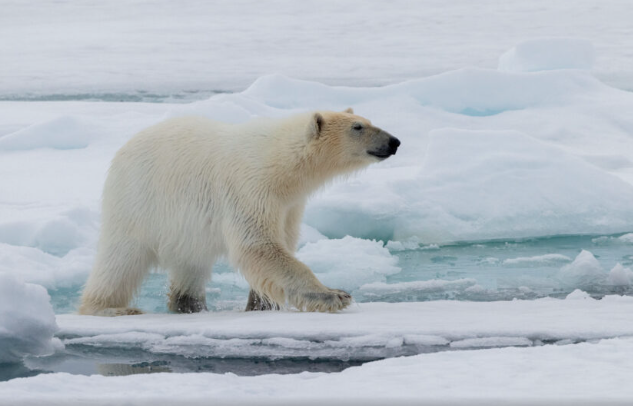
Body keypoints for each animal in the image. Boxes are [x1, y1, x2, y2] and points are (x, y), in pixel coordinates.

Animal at [80, 109, 400, 316]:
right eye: (357, 127)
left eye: (368, 121)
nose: (394, 142)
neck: (280, 163)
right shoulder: (250, 187)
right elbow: (258, 245)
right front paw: (333, 295)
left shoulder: (288, 204)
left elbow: (280, 244)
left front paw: (259, 305)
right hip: (139, 203)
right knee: (120, 260)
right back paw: (110, 307)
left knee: (191, 263)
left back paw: (190, 304)